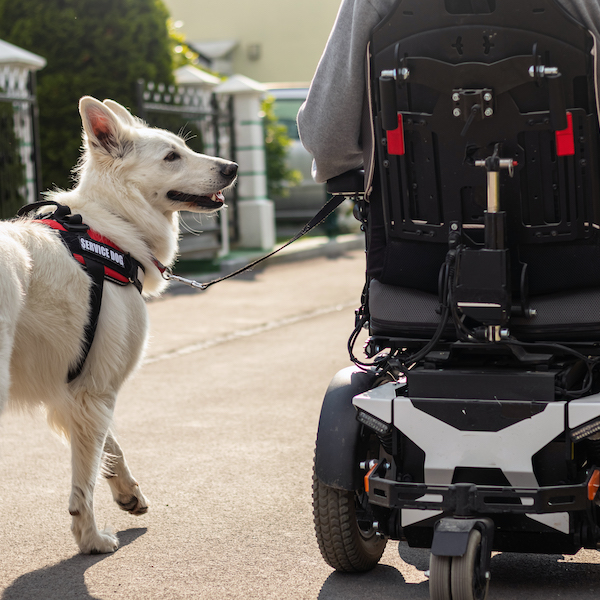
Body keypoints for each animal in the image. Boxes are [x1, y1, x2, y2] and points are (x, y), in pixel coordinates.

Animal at [0, 97, 238, 552]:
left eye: (185, 147)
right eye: (171, 157)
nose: (233, 167)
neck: (112, 224)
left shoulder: (79, 388)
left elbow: (110, 450)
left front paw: (128, 493)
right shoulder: (95, 390)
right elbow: (85, 480)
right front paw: (90, 539)